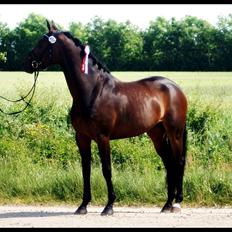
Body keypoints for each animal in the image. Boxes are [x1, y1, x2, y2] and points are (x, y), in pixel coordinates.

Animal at [23, 20, 188, 215]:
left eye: (43, 43)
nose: (26, 62)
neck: (92, 91)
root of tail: (175, 88)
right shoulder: (82, 137)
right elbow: (86, 170)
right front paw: (83, 205)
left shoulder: (103, 138)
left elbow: (106, 169)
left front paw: (109, 206)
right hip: (156, 133)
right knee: (169, 163)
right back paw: (167, 204)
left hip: (175, 132)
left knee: (178, 161)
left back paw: (177, 203)